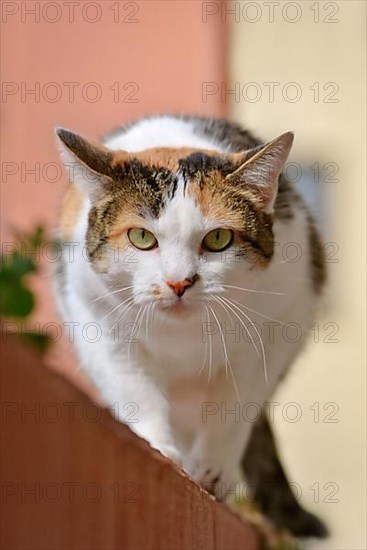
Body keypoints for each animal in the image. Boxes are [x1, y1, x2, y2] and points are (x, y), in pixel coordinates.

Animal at [55, 114, 328, 540]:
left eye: (218, 238)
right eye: (141, 236)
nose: (178, 282)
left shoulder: (280, 321)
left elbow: (236, 402)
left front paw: (213, 469)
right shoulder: (94, 316)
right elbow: (133, 386)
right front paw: (157, 446)